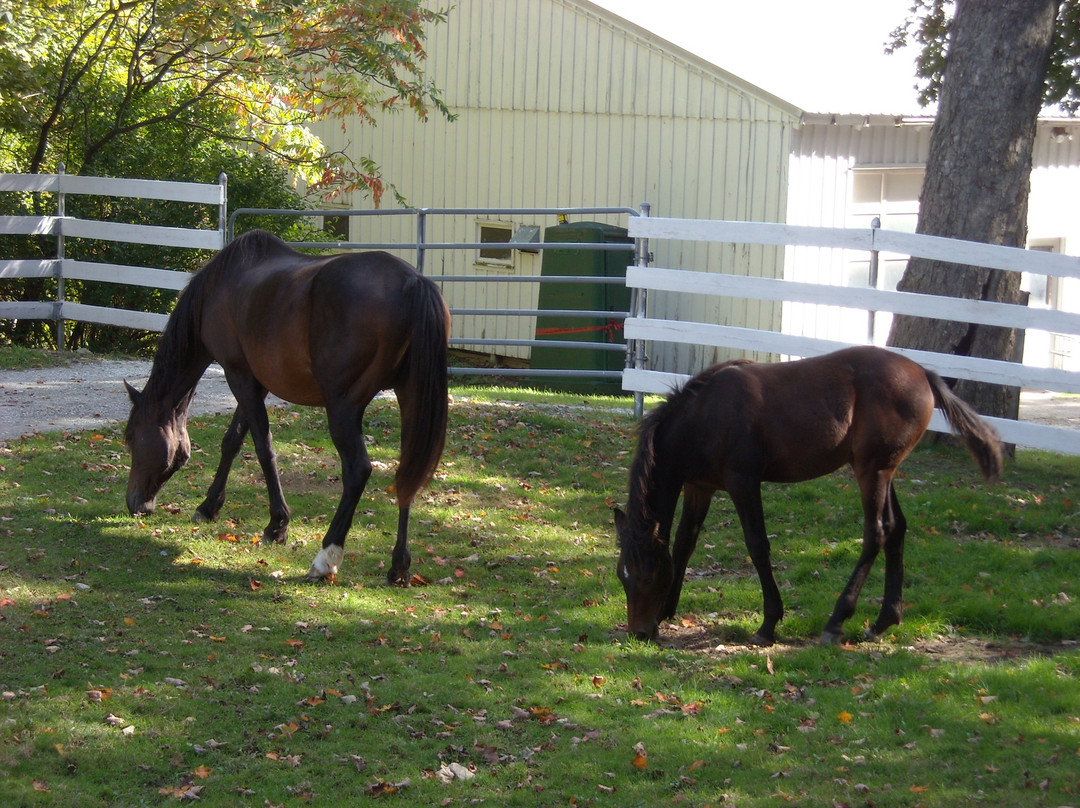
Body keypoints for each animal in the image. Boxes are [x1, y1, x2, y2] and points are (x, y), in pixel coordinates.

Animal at [124, 229, 450, 584]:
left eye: (131, 438)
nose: (133, 503)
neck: (219, 286)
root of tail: (412, 282)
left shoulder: (239, 376)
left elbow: (262, 447)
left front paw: (277, 526)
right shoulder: (255, 380)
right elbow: (232, 441)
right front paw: (208, 507)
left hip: (343, 408)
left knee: (358, 470)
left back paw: (326, 558)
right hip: (410, 398)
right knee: (408, 472)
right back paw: (399, 566)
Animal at [613, 345, 1002, 645]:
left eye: (646, 576)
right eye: (622, 576)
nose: (639, 633)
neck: (704, 415)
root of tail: (923, 372)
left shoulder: (743, 483)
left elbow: (757, 545)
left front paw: (768, 624)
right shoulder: (700, 486)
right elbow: (683, 543)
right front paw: (667, 610)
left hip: (871, 472)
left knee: (875, 533)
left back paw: (836, 621)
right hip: (884, 472)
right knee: (896, 529)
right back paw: (883, 621)